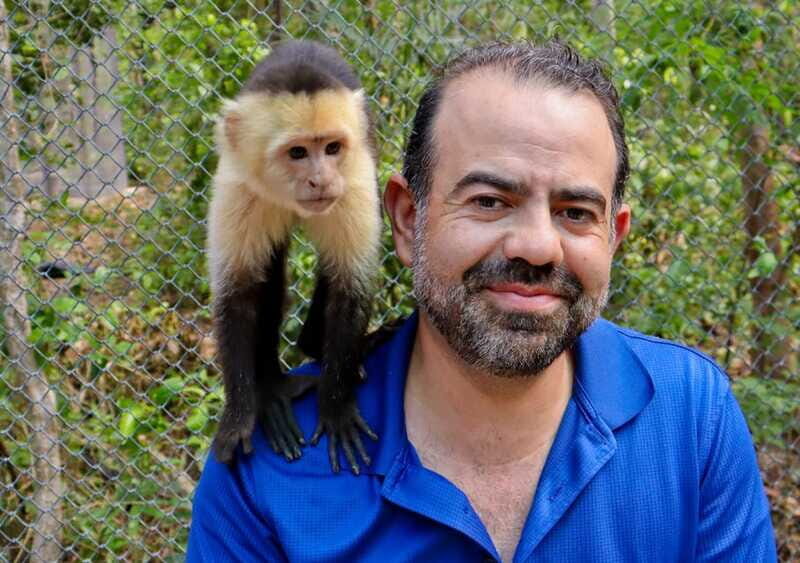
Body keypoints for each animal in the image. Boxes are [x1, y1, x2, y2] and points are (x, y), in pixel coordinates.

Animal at [207, 40, 382, 474]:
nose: (320, 180)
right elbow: (238, 295)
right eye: (298, 152)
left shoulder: (353, 179)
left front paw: (335, 407)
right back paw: (272, 388)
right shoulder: (238, 183)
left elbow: (348, 286)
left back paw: (315, 346)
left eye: (332, 148)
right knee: (268, 269)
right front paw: (239, 414)